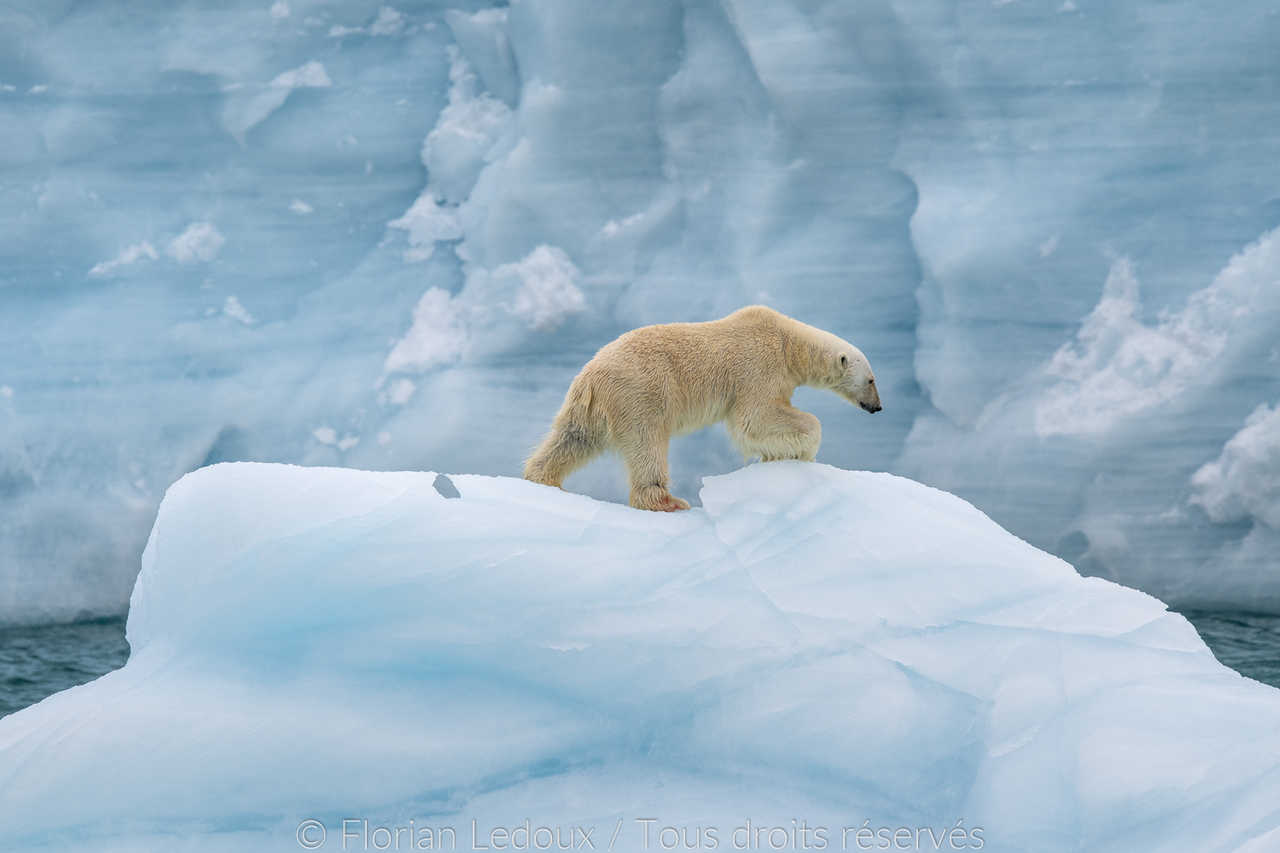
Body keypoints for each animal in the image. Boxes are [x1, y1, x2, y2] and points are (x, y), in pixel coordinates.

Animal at [519, 302, 880, 507]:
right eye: (872, 380)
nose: (877, 408)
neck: (788, 341)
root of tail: (590, 376)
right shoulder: (759, 365)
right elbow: (754, 418)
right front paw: (801, 451)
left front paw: (777, 455)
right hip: (640, 394)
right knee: (647, 445)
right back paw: (668, 501)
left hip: (588, 408)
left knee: (572, 439)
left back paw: (543, 478)